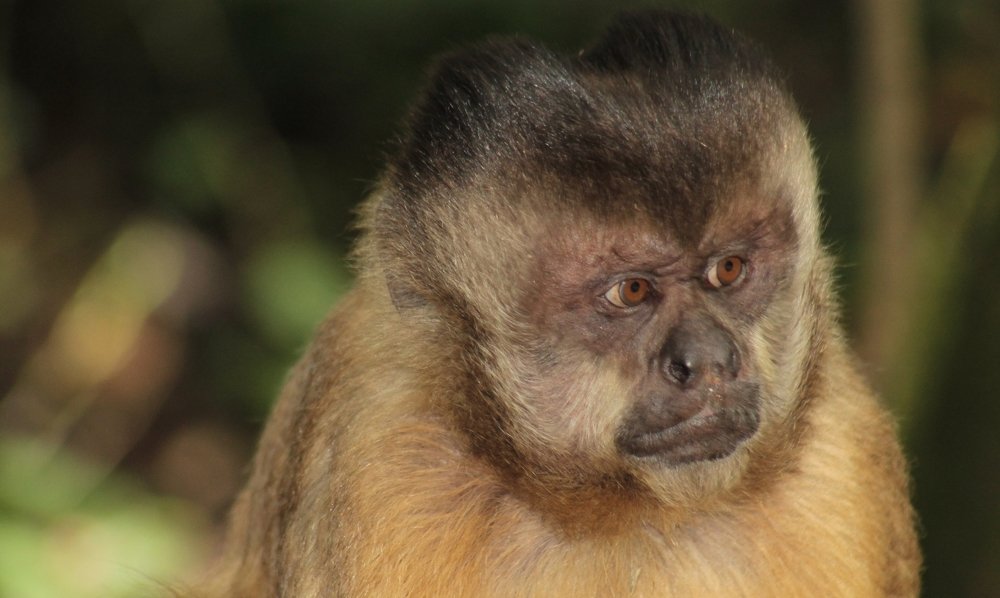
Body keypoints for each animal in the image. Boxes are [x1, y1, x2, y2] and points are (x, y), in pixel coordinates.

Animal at [201, 11, 921, 597]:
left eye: (728, 269)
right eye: (631, 291)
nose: (711, 361)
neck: (626, 516)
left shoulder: (843, 440)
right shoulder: (383, 457)